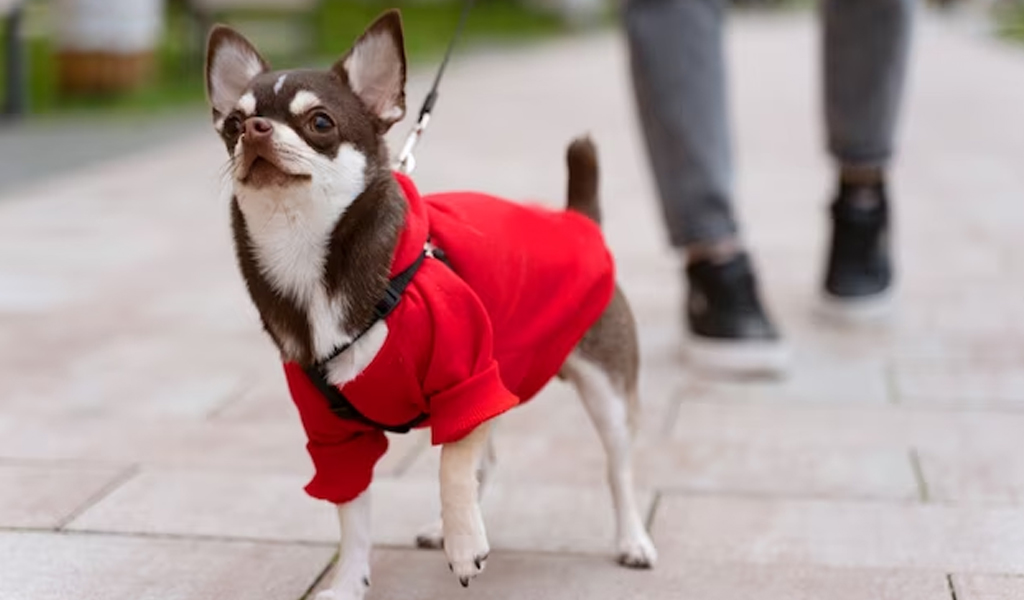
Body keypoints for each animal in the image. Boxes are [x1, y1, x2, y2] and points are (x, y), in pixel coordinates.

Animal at [204, 10, 659, 597]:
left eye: (321, 123)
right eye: (234, 124)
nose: (255, 130)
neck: (308, 255)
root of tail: (577, 218)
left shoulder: (467, 379)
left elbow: (451, 466)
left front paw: (464, 546)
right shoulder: (334, 436)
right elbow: (354, 514)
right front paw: (349, 581)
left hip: (605, 388)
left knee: (615, 467)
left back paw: (631, 540)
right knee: (488, 457)